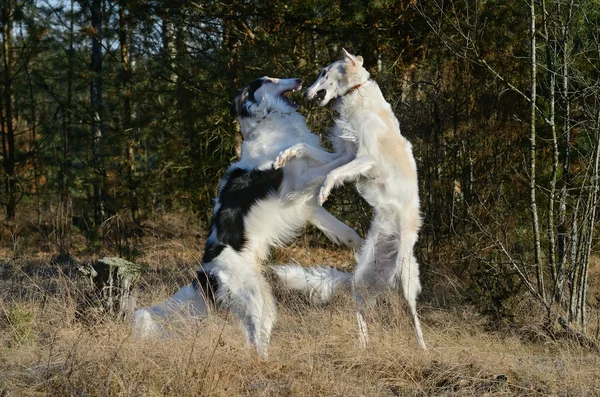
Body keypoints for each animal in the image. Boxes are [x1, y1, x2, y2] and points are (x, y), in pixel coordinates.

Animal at [132, 76, 360, 354]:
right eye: (269, 79)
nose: (298, 79)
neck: (270, 122)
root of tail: (206, 274)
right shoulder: (297, 185)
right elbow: (332, 163)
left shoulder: (308, 205)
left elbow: (347, 231)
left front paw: (363, 251)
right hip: (252, 298)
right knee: (254, 341)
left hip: (263, 300)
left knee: (258, 338)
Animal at [272, 50, 426, 350]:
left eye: (323, 72)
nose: (305, 93)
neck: (358, 97)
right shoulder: (345, 155)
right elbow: (308, 155)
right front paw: (286, 163)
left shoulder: (365, 158)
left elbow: (331, 175)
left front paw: (322, 192)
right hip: (367, 271)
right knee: (358, 303)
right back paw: (364, 343)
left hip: (405, 278)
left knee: (413, 316)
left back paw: (423, 348)